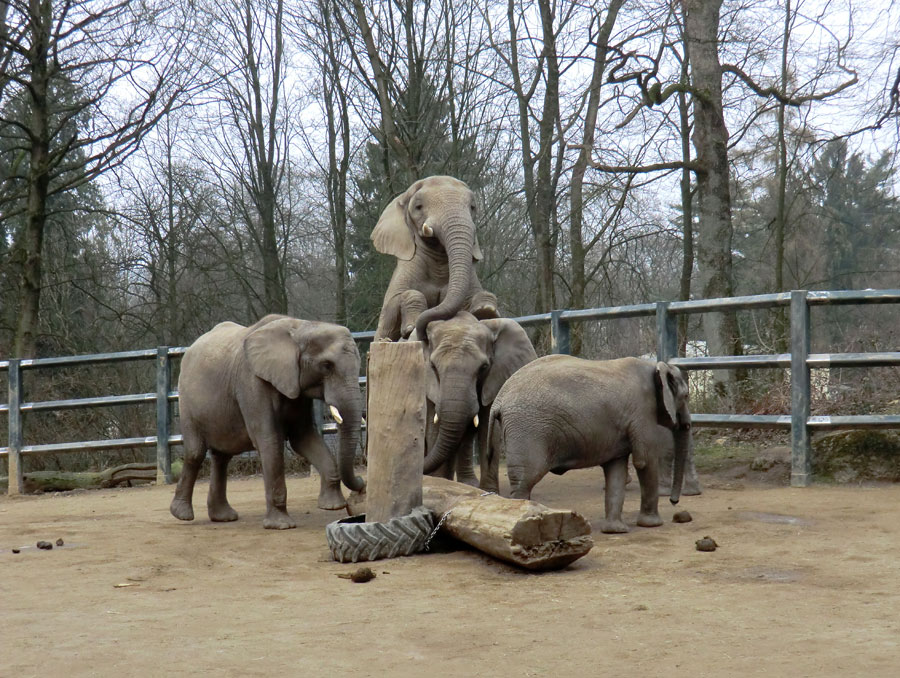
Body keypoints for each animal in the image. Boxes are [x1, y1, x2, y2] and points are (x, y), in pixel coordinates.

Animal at [169, 314, 366, 532]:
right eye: (327, 366)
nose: (362, 485)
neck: (301, 327)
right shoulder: (252, 383)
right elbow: (269, 441)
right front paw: (281, 525)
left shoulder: (294, 385)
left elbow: (303, 437)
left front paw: (333, 506)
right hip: (186, 401)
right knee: (195, 452)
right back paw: (182, 515)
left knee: (222, 457)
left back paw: (223, 517)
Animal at [370, 175, 500, 342]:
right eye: (418, 207)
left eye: (472, 207)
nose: (423, 334)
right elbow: (392, 305)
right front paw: (410, 328)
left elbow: (472, 299)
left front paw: (486, 311)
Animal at [412, 314, 536, 494]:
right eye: (433, 367)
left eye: (483, 367)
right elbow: (433, 427)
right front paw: (440, 481)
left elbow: (488, 428)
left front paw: (490, 492)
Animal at [488, 356, 692, 536]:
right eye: (687, 395)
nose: (674, 501)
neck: (655, 365)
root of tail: (499, 400)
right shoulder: (642, 411)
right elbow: (645, 461)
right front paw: (653, 524)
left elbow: (616, 469)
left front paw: (615, 531)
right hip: (528, 429)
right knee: (525, 479)